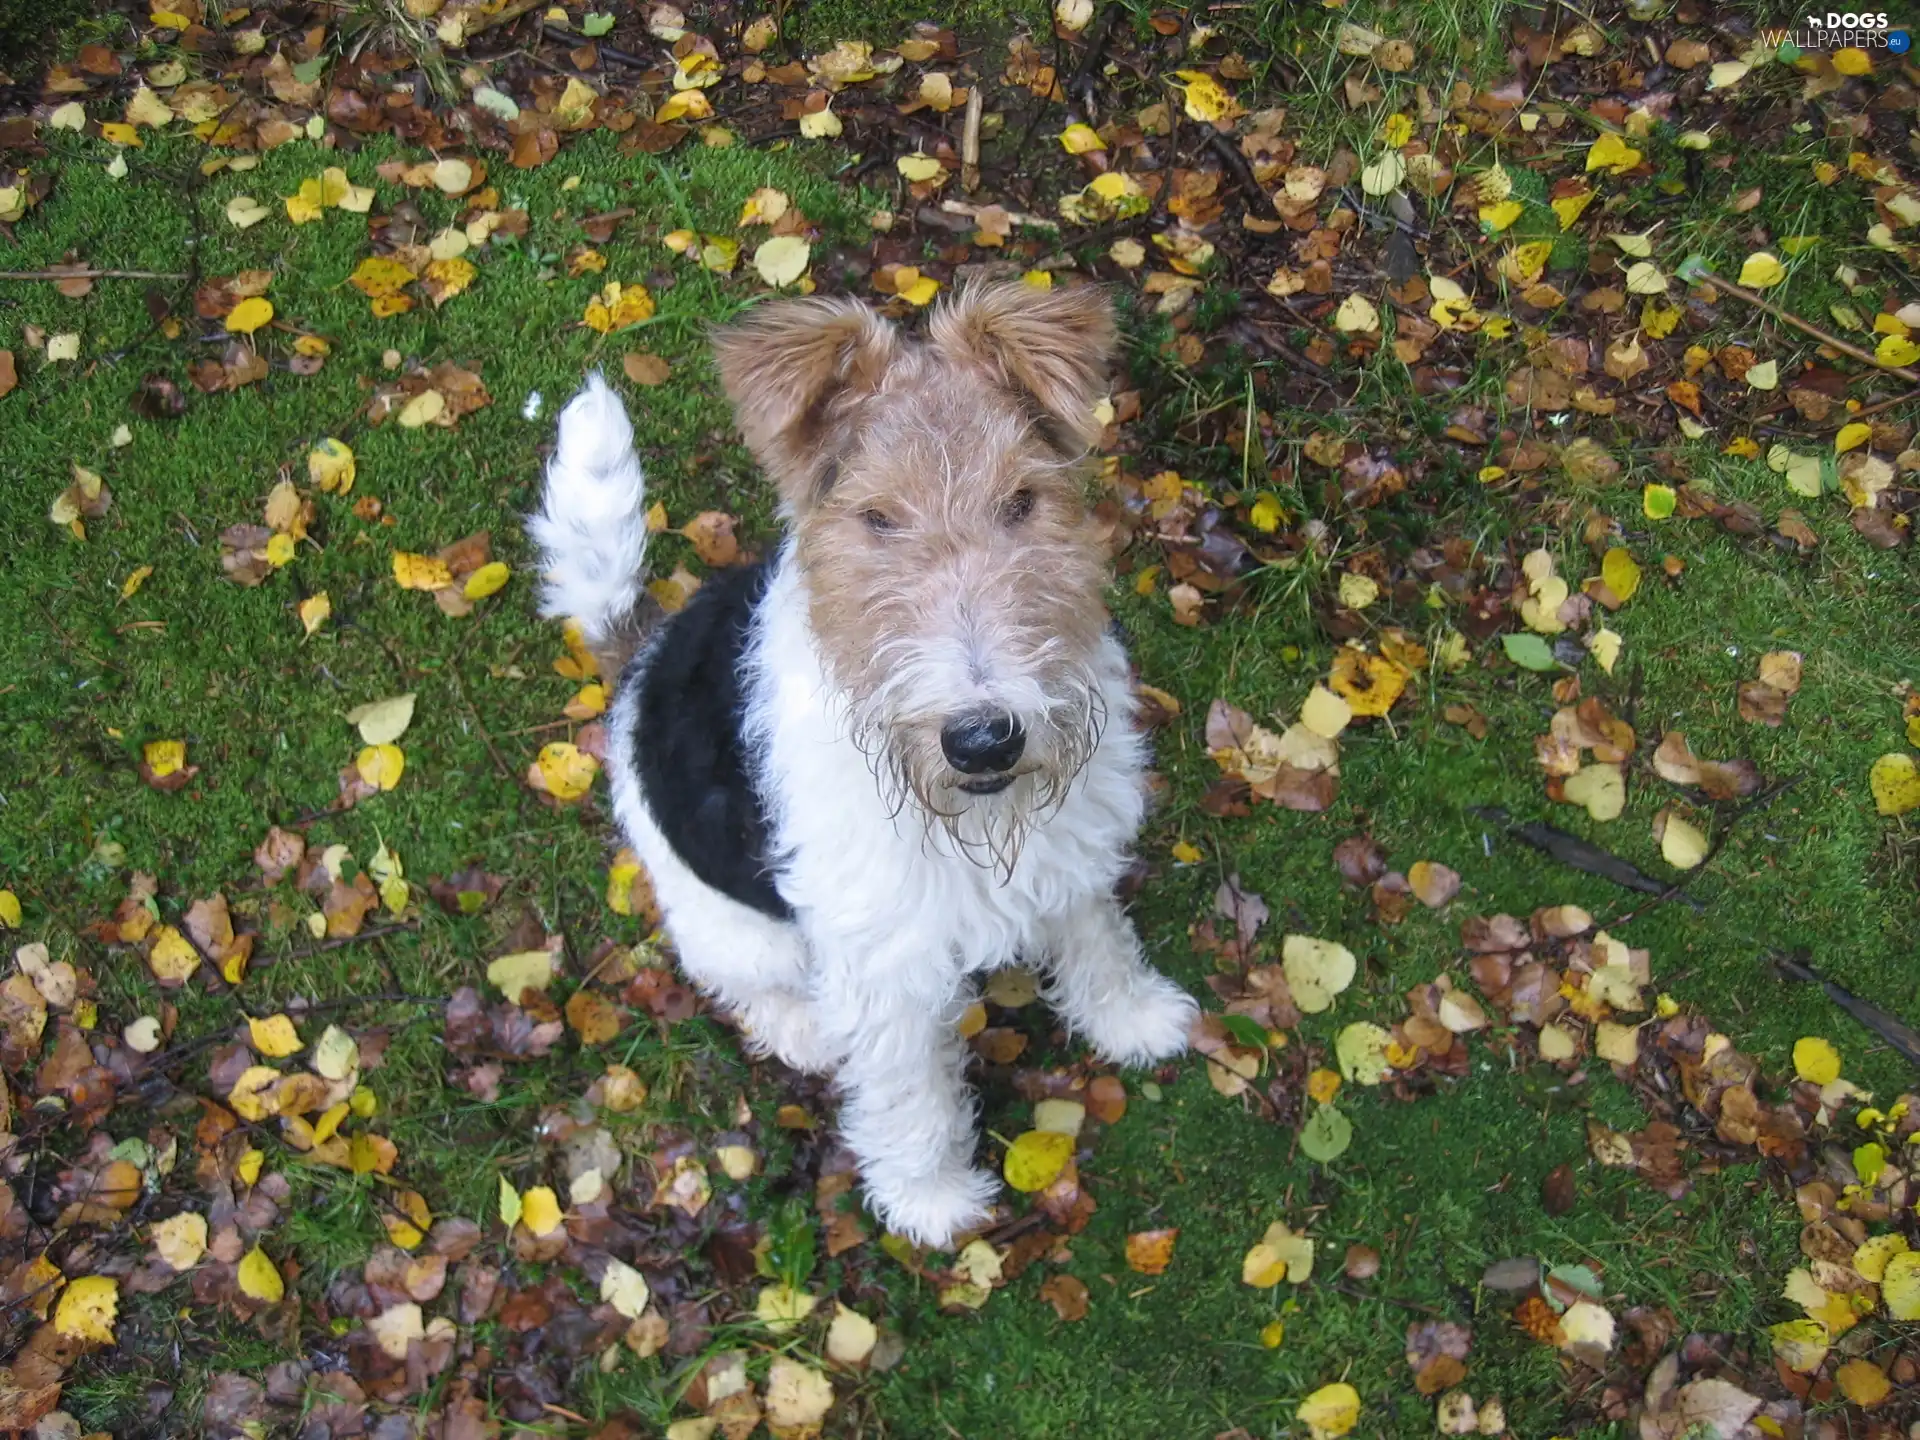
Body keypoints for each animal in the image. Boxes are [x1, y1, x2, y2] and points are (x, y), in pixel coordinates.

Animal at [533, 282, 1190, 1251]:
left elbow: (1099, 942)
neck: (969, 819)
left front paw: (1135, 1020)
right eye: (877, 517)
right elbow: (911, 1097)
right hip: (730, 921)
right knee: (741, 983)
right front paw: (932, 1201)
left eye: (1023, 500)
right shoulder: (884, 968)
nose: (984, 739)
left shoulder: (1072, 843)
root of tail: (640, 656)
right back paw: (806, 1030)